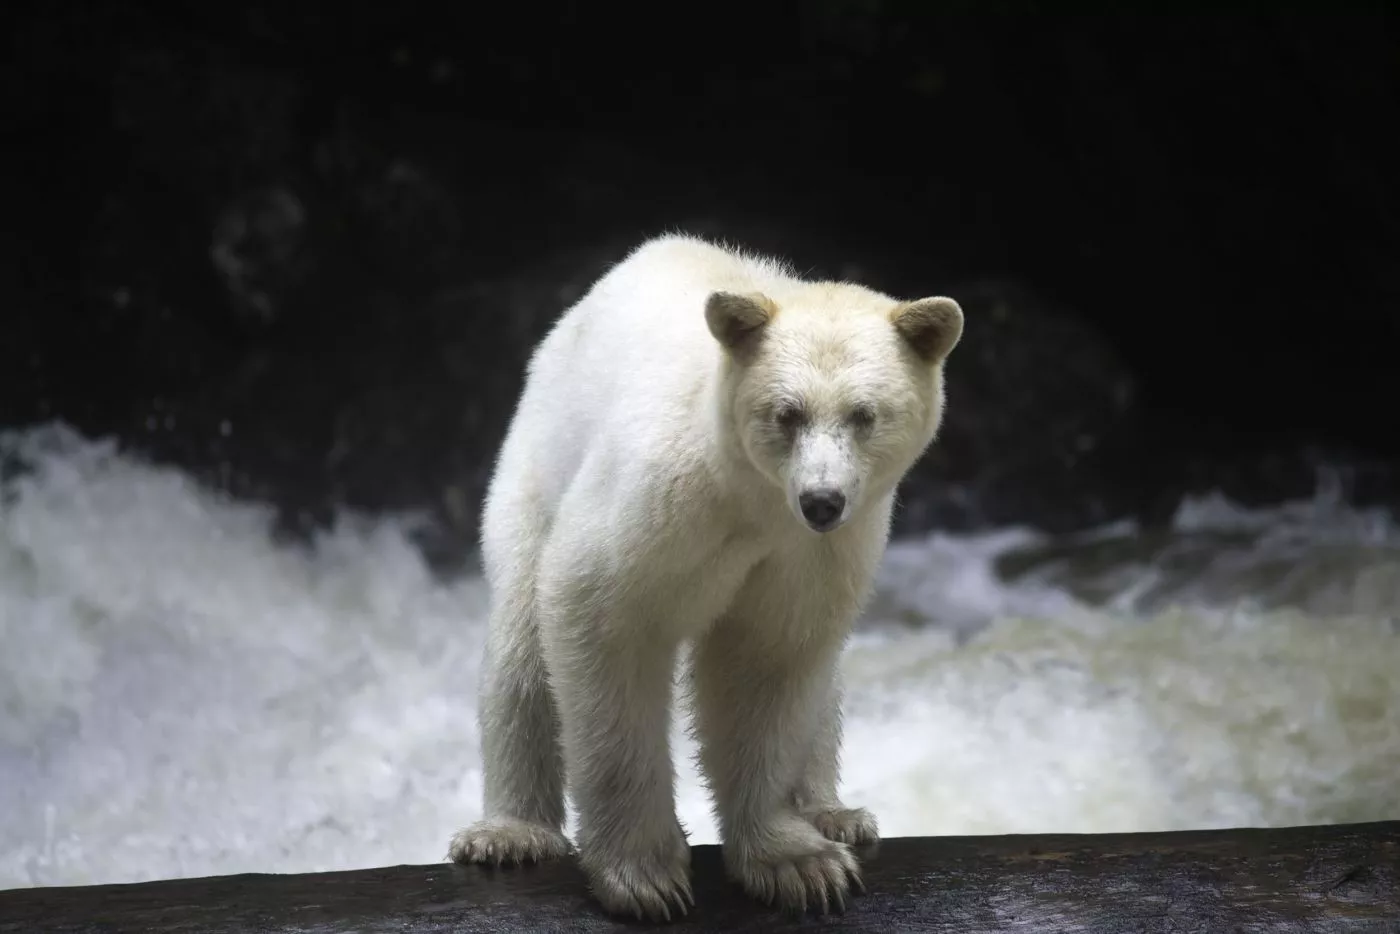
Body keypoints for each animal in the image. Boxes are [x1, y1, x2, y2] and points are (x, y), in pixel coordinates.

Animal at [448, 233, 963, 920]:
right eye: (787, 413)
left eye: (864, 414)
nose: (822, 501)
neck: (753, 500)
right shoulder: (661, 499)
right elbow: (601, 616)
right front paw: (644, 875)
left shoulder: (812, 554)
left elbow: (770, 661)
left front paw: (800, 863)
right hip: (535, 468)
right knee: (521, 645)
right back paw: (511, 833)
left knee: (822, 681)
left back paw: (834, 813)